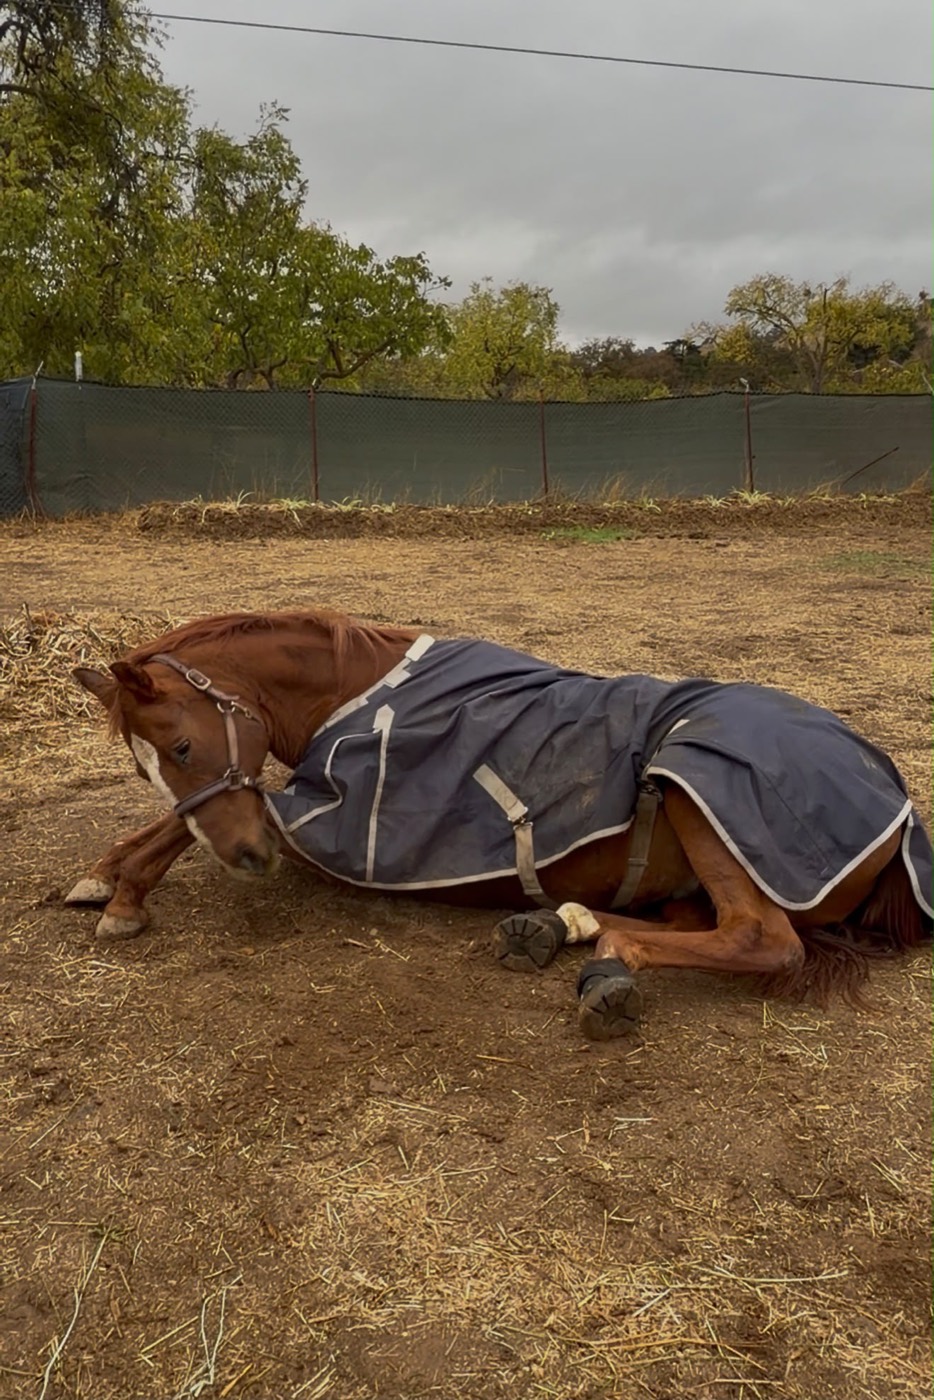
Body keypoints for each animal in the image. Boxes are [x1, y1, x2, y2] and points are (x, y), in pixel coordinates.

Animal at [69, 608, 932, 1041]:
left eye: (183, 746)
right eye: (146, 766)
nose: (245, 857)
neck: (359, 691)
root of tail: (896, 811)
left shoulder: (333, 818)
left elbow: (183, 831)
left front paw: (124, 892)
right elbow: (170, 826)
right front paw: (104, 875)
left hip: (698, 784)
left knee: (760, 938)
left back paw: (606, 959)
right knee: (693, 919)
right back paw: (558, 925)